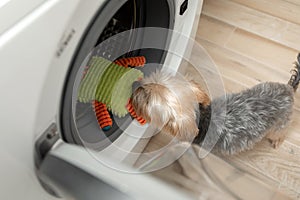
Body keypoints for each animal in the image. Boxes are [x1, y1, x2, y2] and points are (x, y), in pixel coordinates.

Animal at [132, 53, 300, 155]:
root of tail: (288, 88)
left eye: (147, 99)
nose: (136, 86)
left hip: (280, 124)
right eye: (150, 80)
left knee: (280, 132)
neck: (202, 116)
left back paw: (276, 141)